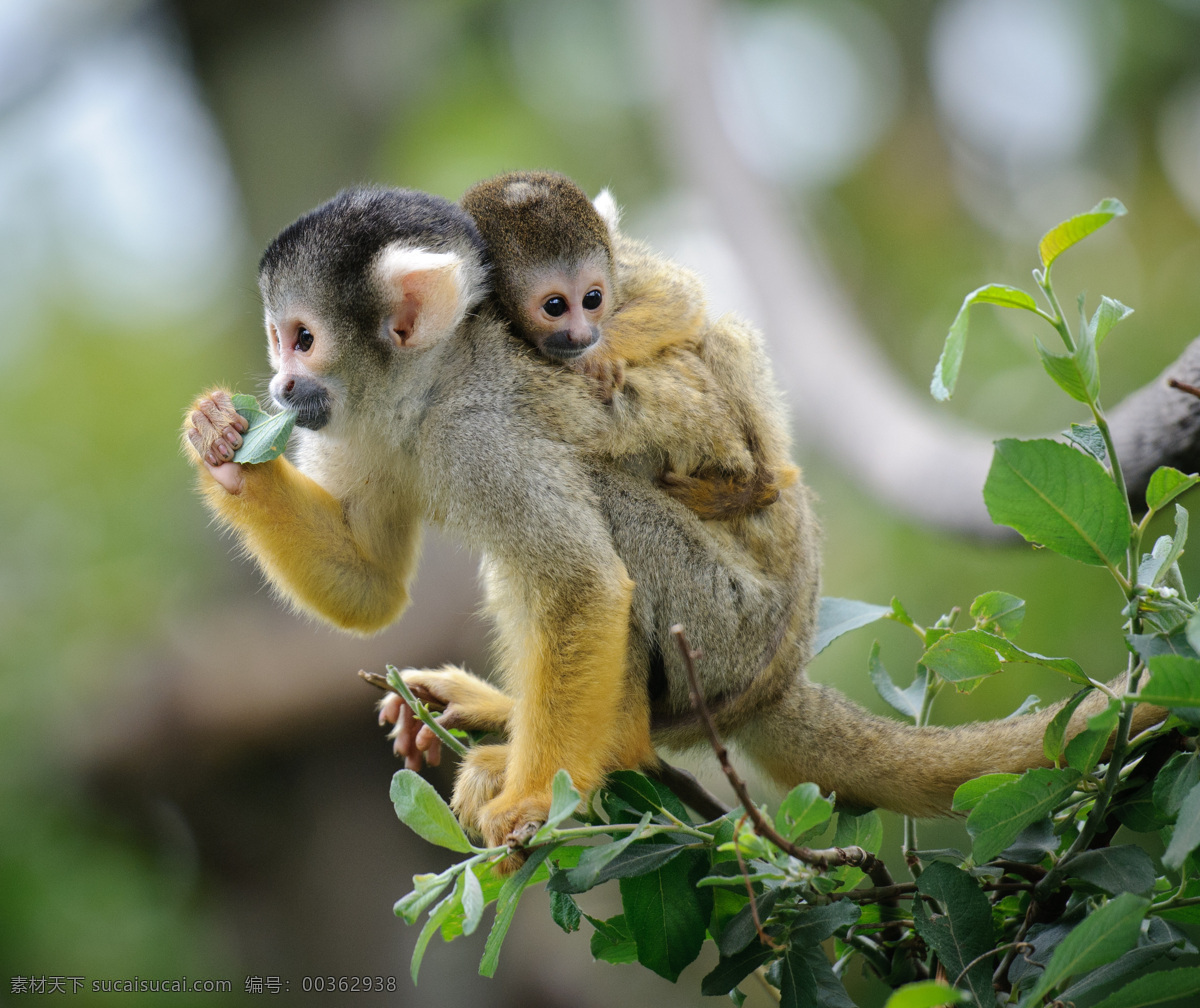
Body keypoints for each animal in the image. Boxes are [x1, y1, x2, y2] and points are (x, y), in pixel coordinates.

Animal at [453, 170, 792, 520]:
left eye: (593, 299)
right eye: (555, 306)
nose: (583, 336)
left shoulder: (621, 268)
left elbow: (680, 297)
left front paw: (598, 359)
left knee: (725, 337)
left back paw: (757, 489)